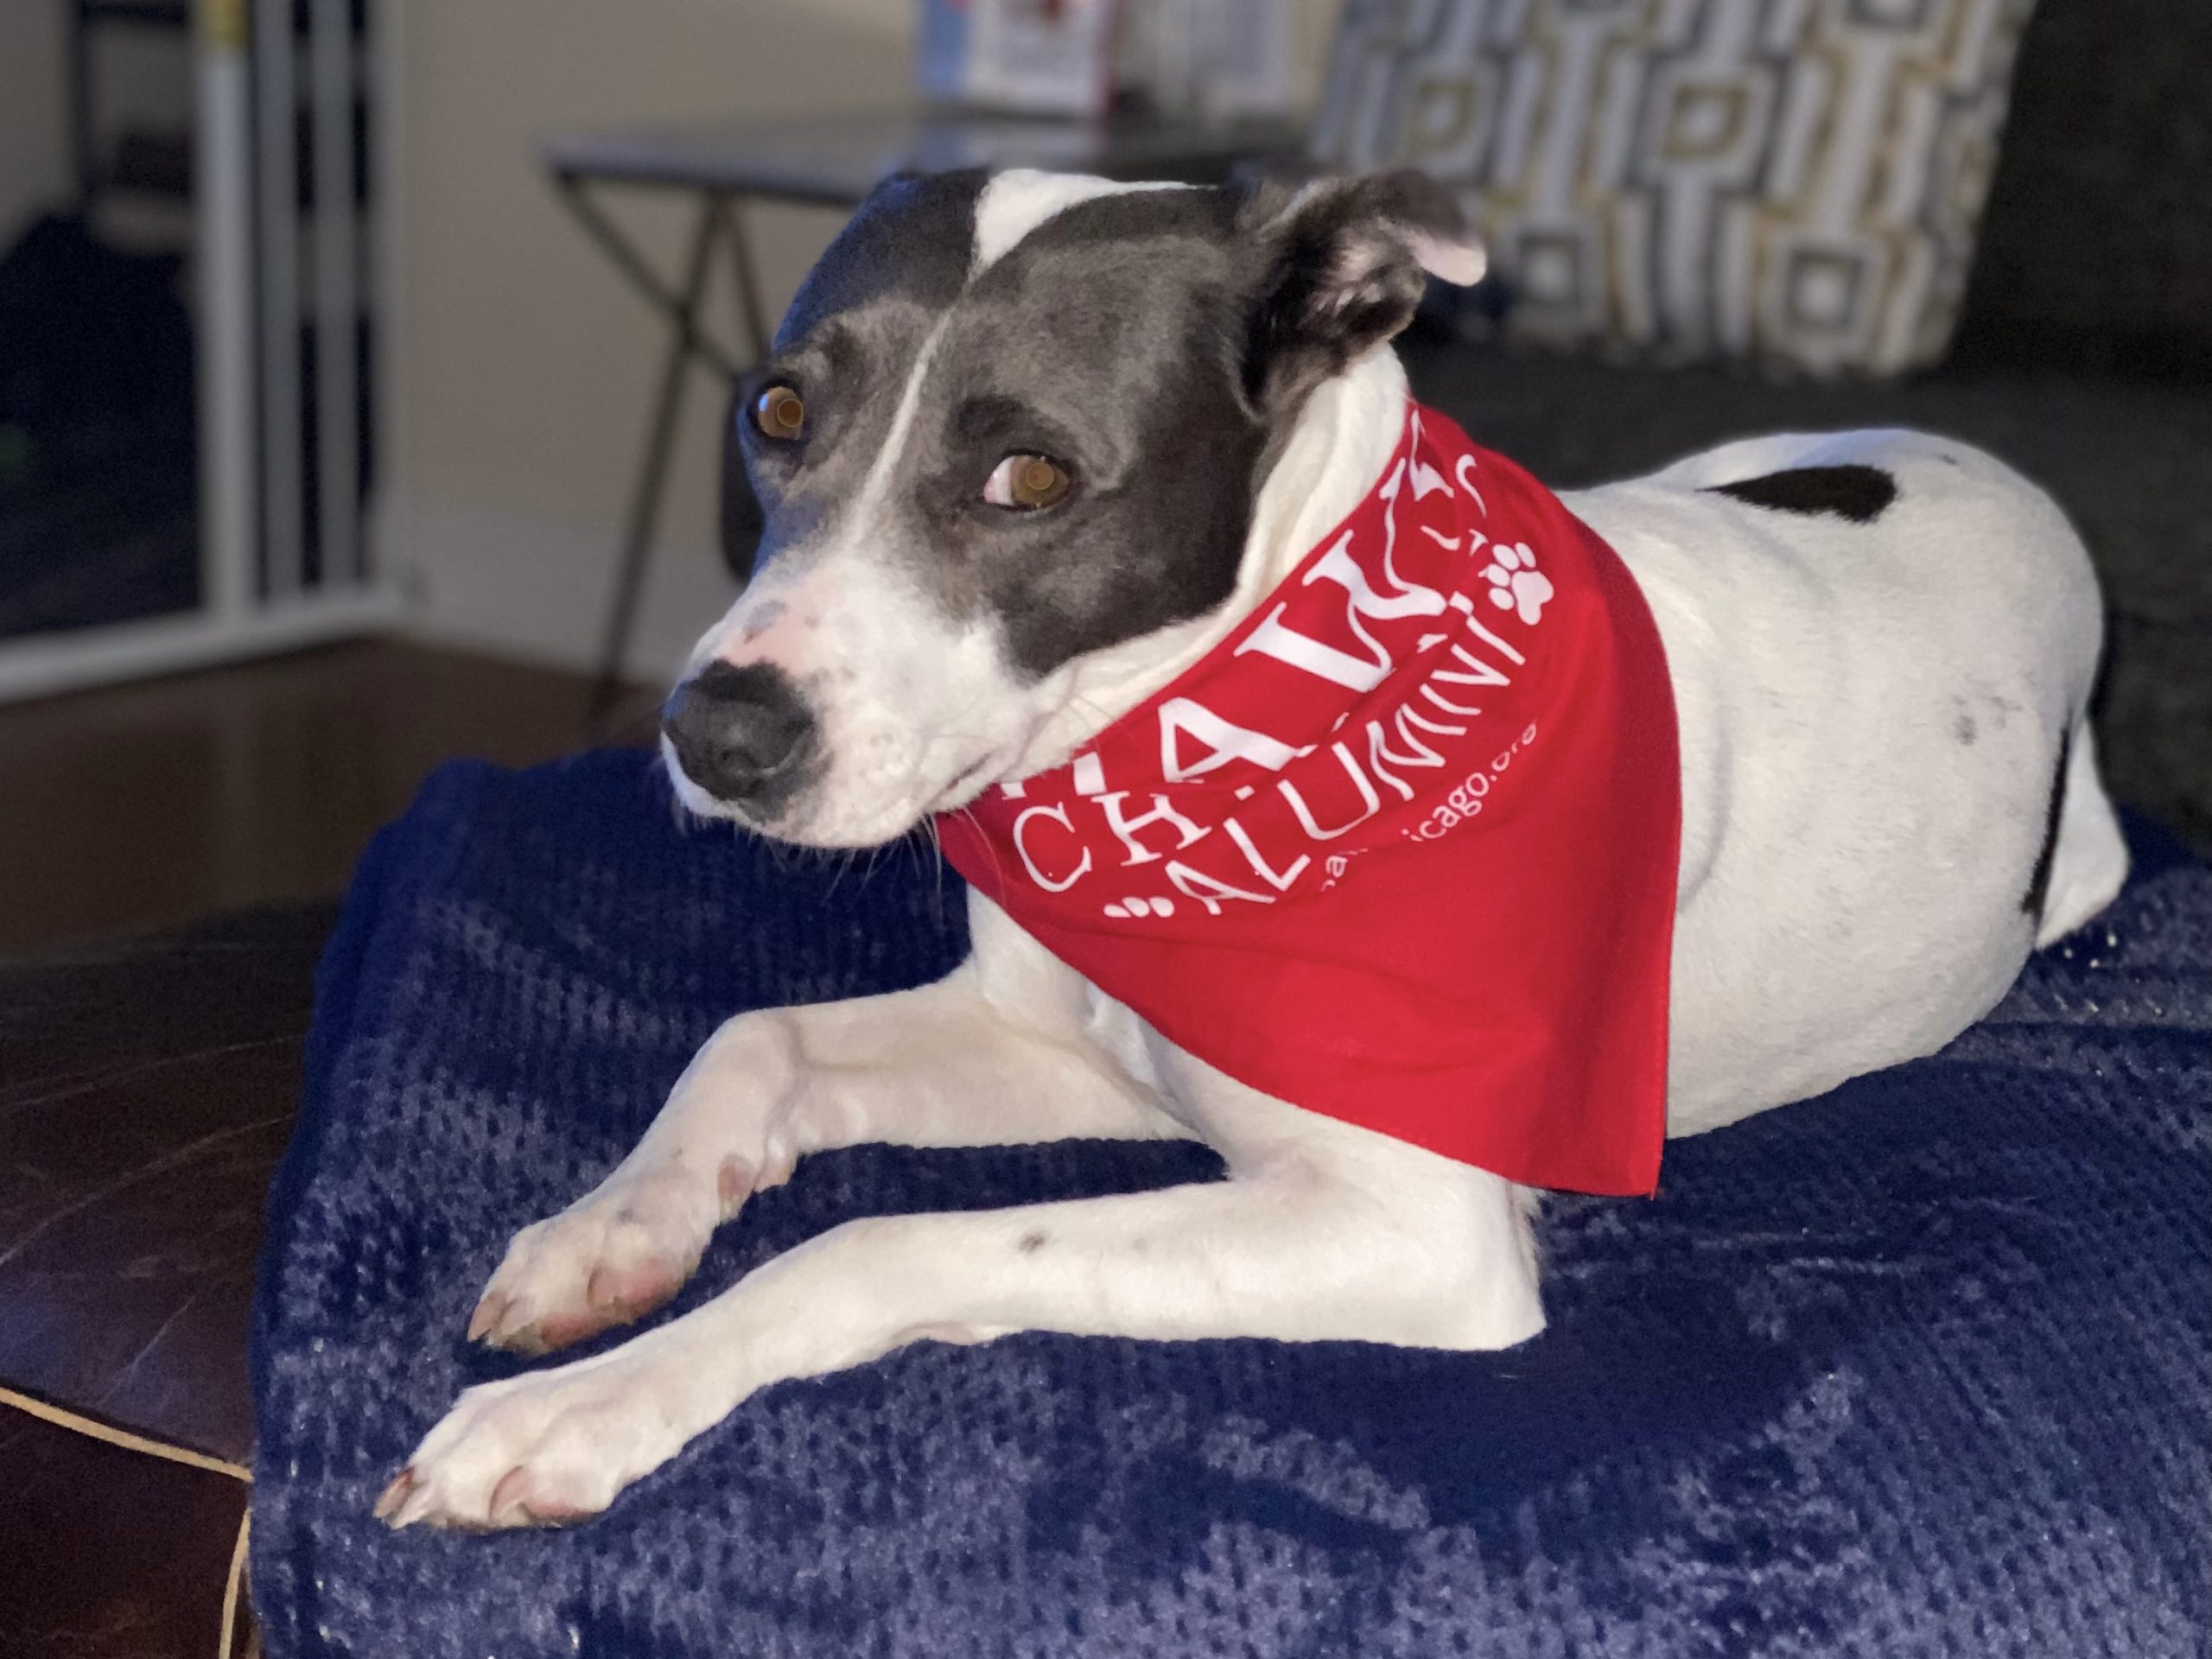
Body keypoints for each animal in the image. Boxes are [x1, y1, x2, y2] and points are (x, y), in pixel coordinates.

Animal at [376, 168, 2123, 1530]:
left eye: (1031, 475)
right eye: (776, 411)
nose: (716, 737)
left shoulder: (1409, 1233)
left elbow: (871, 1245)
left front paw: (587, 1411)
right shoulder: (1066, 1043)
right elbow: (753, 1039)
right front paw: (610, 1231)